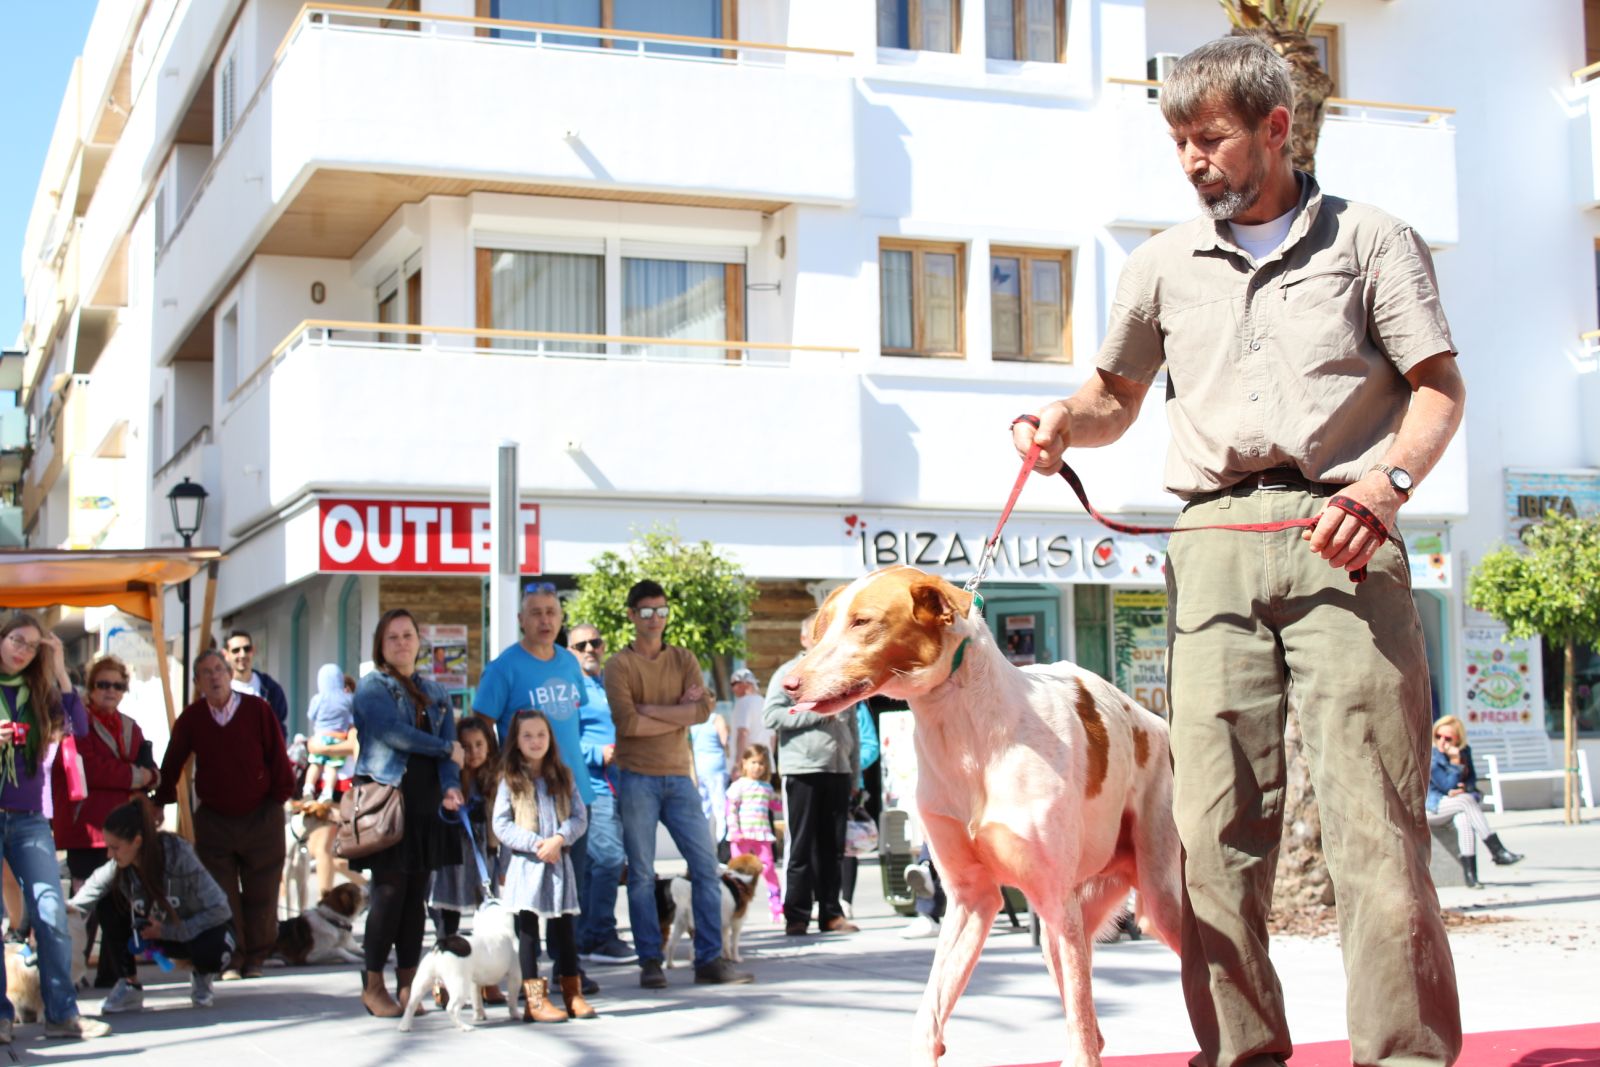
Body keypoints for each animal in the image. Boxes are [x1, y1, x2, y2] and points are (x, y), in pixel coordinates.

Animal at [780, 566, 1184, 1067]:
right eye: (823, 626)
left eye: (862, 621)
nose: (788, 684)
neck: (967, 737)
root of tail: (1156, 720)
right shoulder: (972, 898)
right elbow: (930, 1010)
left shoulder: (1054, 898)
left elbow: (1080, 1032)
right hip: (1060, 929)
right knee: (1092, 1022)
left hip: (1158, 902)